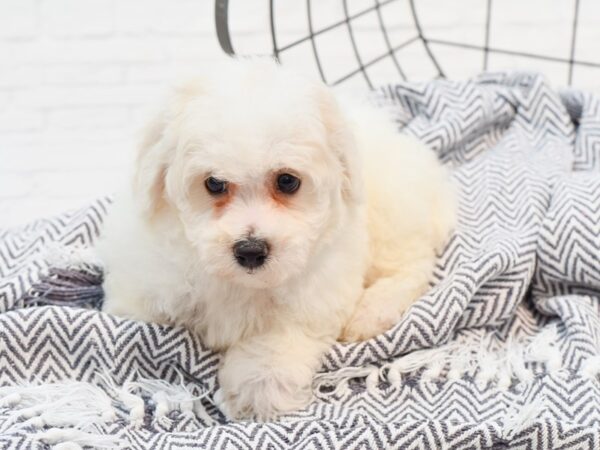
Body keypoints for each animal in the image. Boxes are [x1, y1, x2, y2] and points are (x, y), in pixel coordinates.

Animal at [97, 58, 454, 420]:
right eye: (214, 183)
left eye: (286, 181)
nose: (251, 251)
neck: (241, 283)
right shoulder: (144, 282)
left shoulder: (316, 295)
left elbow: (279, 338)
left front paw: (260, 388)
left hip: (392, 214)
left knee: (411, 264)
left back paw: (371, 312)